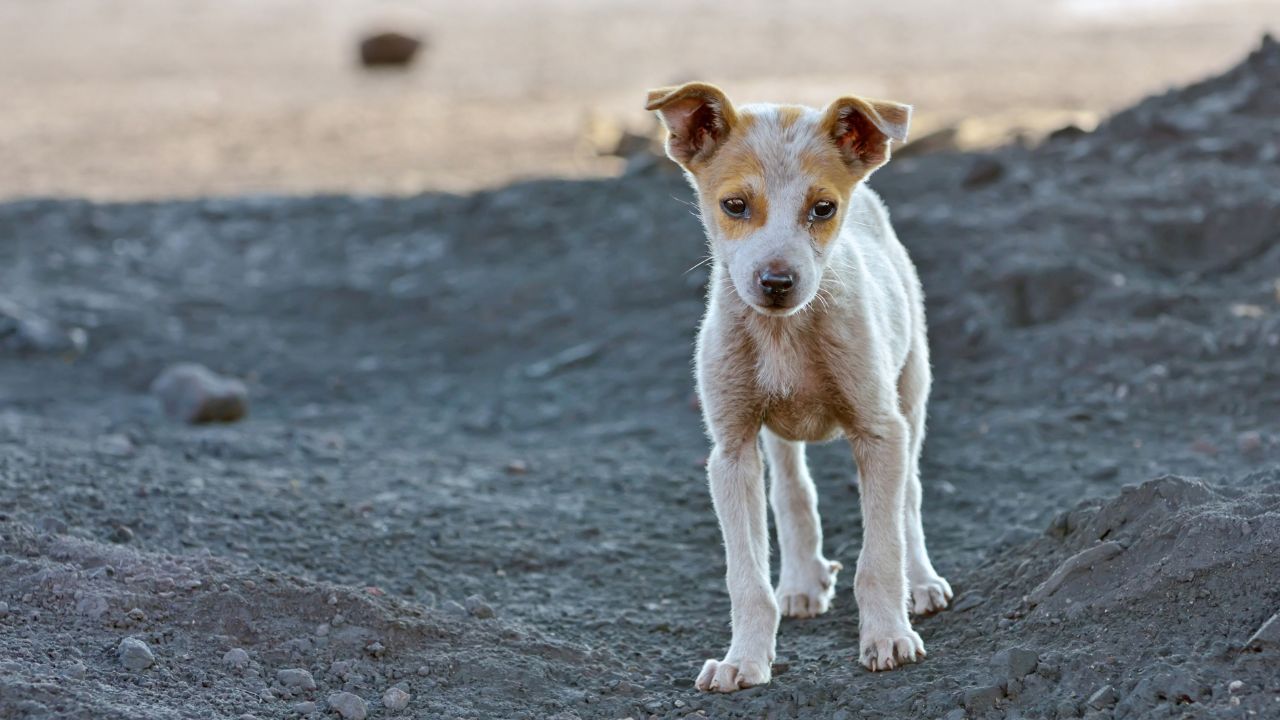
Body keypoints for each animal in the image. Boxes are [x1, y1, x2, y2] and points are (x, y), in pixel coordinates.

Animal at [645, 82, 957, 691]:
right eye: (734, 206)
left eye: (823, 208)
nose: (777, 282)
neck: (784, 334)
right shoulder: (731, 451)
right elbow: (746, 577)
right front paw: (744, 660)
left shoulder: (881, 431)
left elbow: (879, 554)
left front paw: (888, 635)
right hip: (777, 433)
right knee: (792, 489)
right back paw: (802, 580)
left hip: (913, 392)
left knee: (909, 497)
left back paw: (922, 581)